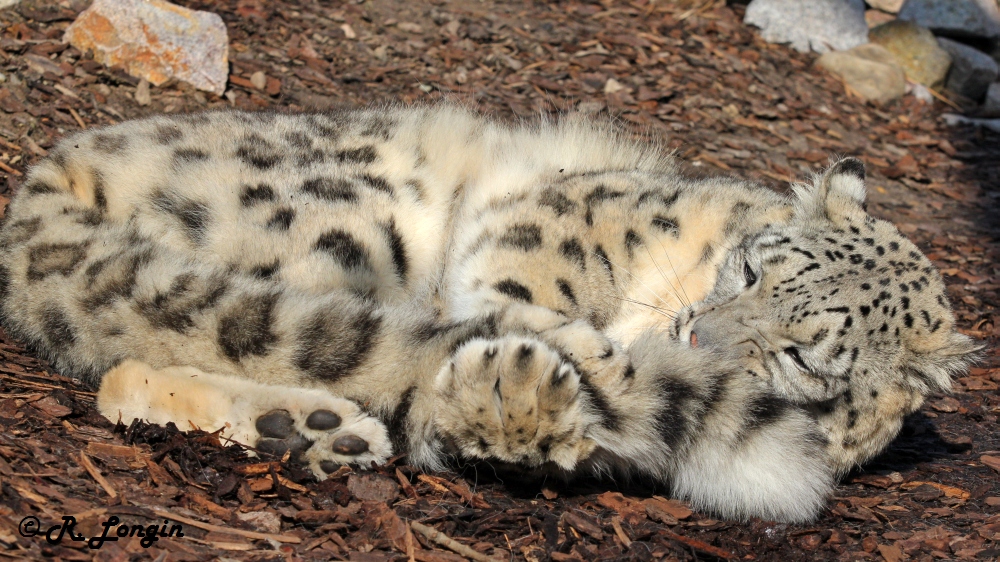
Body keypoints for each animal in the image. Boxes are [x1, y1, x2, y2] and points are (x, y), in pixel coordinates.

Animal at [0, 105, 972, 520]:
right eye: (748, 269)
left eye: (804, 355)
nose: (698, 337)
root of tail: (62, 160)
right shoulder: (555, 220)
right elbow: (521, 293)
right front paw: (578, 355)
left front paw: (520, 406)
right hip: (344, 220)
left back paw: (312, 430)